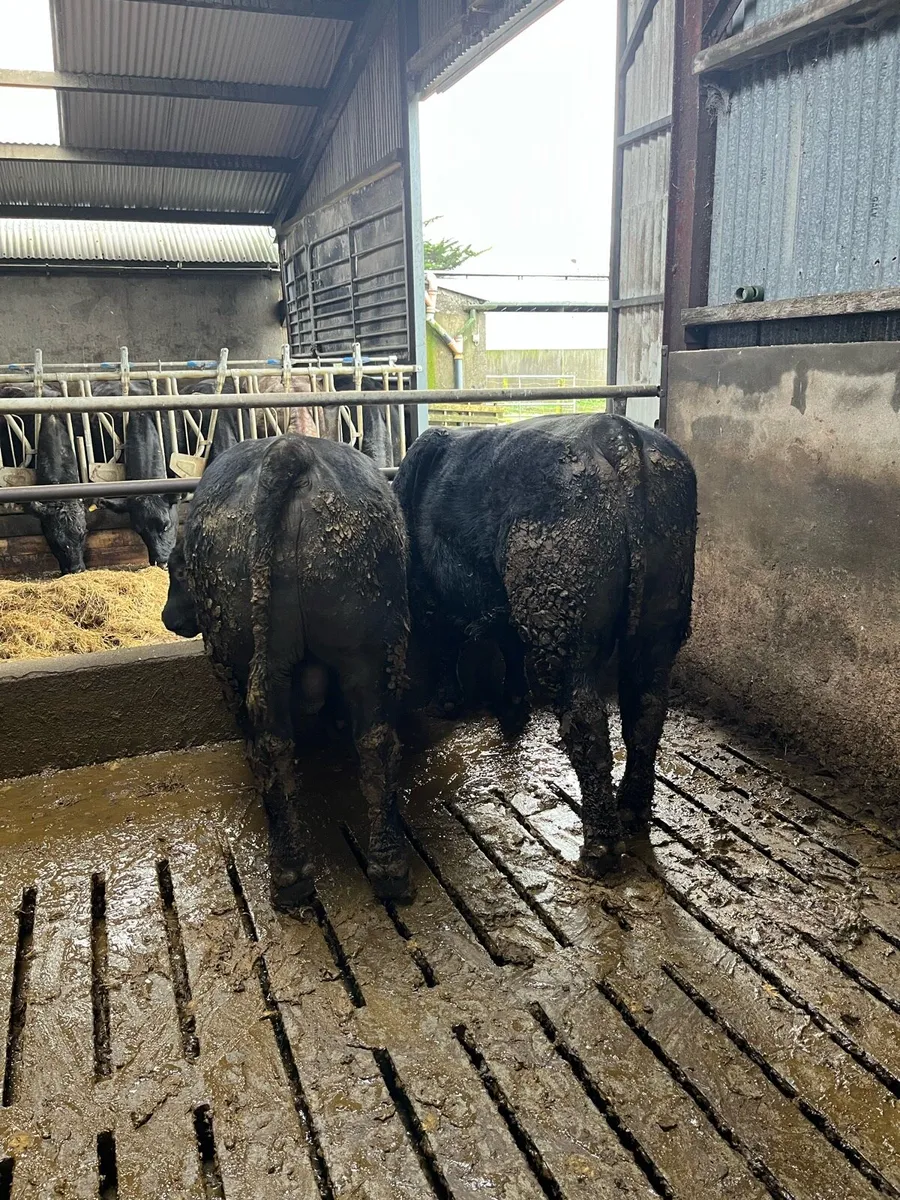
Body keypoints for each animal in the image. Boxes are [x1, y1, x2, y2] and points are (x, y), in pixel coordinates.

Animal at [161, 435, 411, 911]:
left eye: (175, 568)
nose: (168, 617)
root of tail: (290, 450)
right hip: (370, 649)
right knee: (377, 742)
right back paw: (387, 864)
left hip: (240, 656)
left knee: (268, 751)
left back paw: (289, 873)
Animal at [393, 413, 697, 877]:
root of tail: (617, 433)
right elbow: (507, 646)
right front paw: (512, 707)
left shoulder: (431, 589)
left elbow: (445, 640)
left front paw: (447, 702)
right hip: (663, 621)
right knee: (645, 712)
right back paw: (631, 811)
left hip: (561, 620)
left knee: (586, 723)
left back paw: (598, 851)